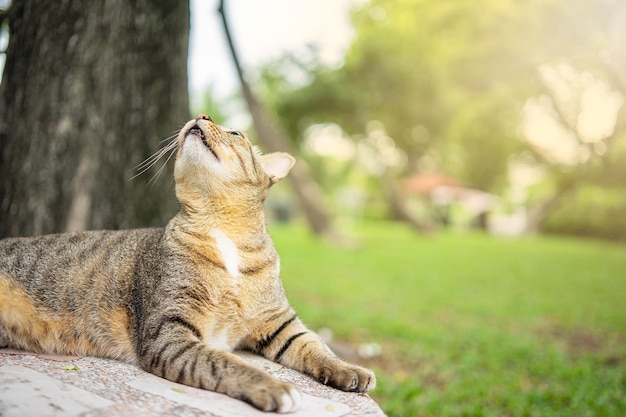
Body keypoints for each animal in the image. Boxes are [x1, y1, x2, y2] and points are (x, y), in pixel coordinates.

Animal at [0, 114, 376, 412]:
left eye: (236, 133)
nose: (202, 114)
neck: (222, 230)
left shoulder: (281, 323)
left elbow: (315, 345)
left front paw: (348, 368)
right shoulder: (170, 331)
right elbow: (225, 363)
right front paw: (273, 386)